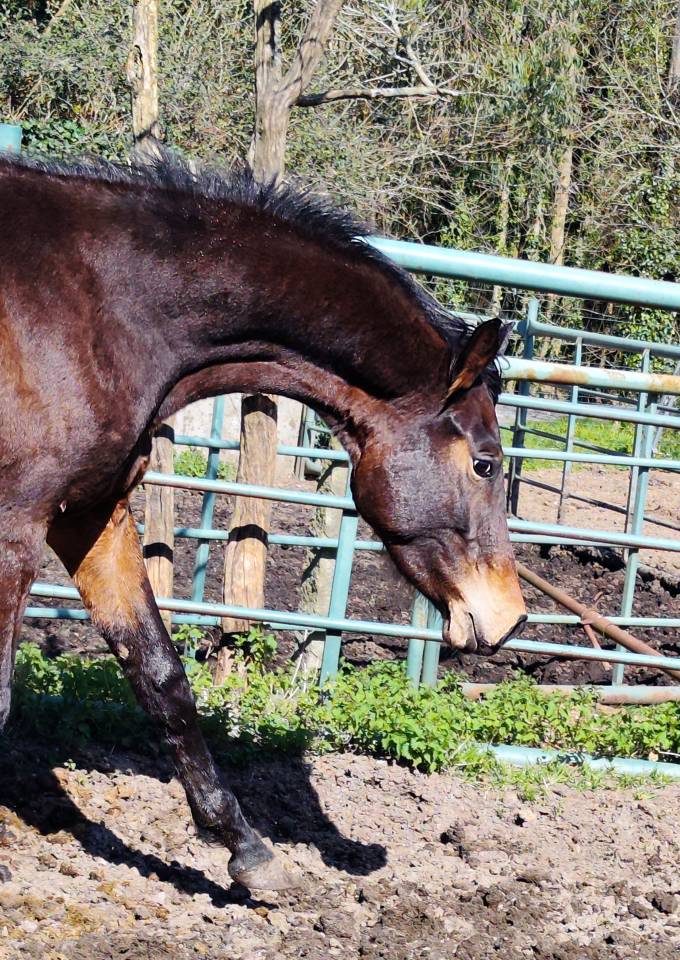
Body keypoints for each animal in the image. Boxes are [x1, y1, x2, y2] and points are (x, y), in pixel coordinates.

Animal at [0, 152, 526, 891]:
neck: (96, 303)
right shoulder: (13, 528)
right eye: (485, 464)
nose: (511, 616)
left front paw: (246, 851)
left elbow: (162, 677)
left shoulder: (91, 516)